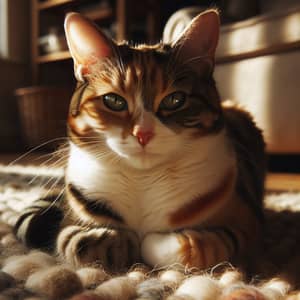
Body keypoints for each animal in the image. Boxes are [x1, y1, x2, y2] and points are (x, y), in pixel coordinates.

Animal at [14, 9, 264, 272]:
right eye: (114, 100)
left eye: (175, 100)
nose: (143, 133)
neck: (142, 181)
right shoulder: (72, 219)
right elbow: (77, 242)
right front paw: (121, 242)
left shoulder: (246, 224)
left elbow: (197, 246)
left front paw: (149, 241)